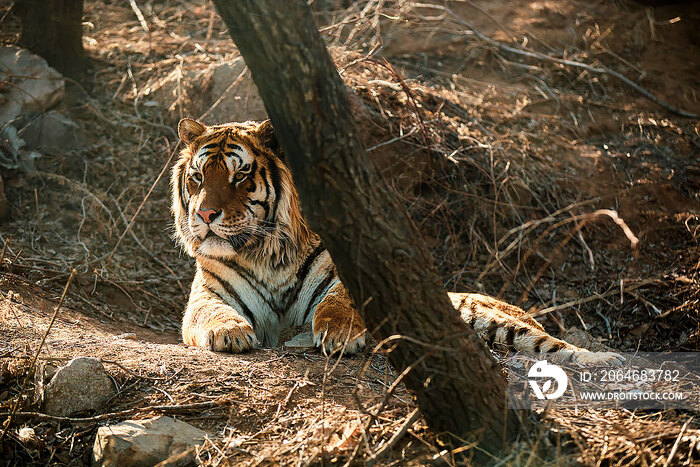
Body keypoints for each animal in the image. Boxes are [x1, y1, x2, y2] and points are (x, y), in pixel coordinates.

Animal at [171, 117, 624, 366]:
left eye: (240, 176)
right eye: (197, 177)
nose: (205, 215)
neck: (265, 253)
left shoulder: (345, 275)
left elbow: (339, 301)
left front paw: (339, 334)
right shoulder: (207, 294)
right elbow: (210, 313)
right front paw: (230, 332)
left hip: (494, 321)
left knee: (552, 345)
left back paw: (607, 359)